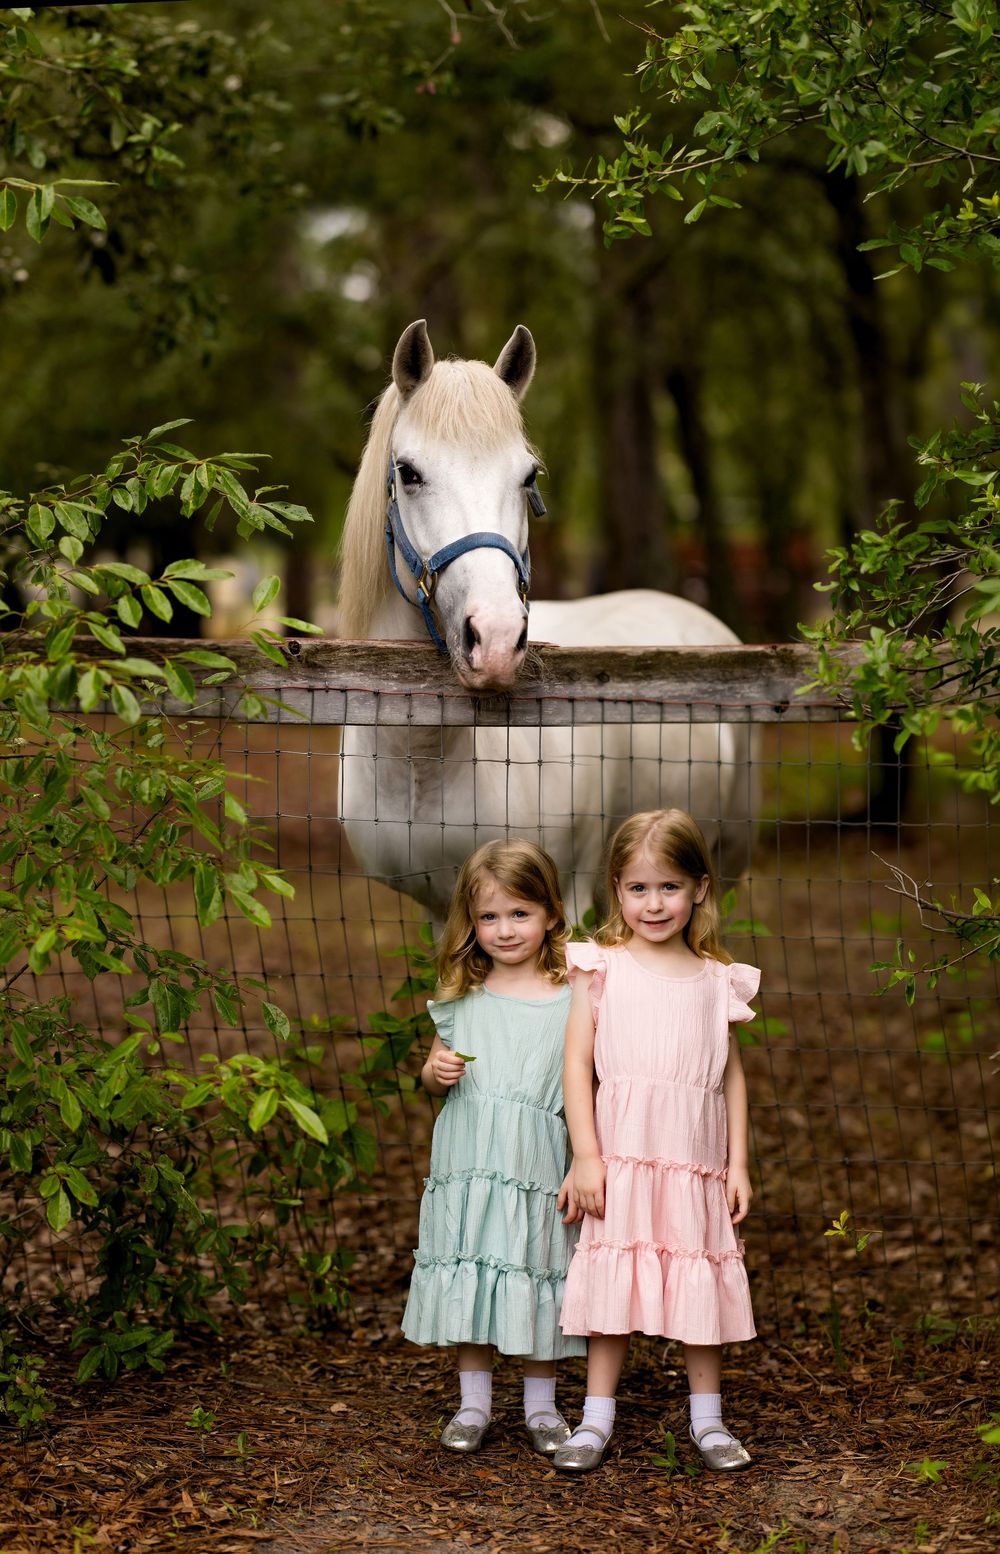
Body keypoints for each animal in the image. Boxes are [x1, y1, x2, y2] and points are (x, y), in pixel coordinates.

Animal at [337, 319, 754, 924]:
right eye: (408, 473)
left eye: (528, 475)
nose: (496, 639)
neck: (423, 763)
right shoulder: (440, 911)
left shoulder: (570, 897)